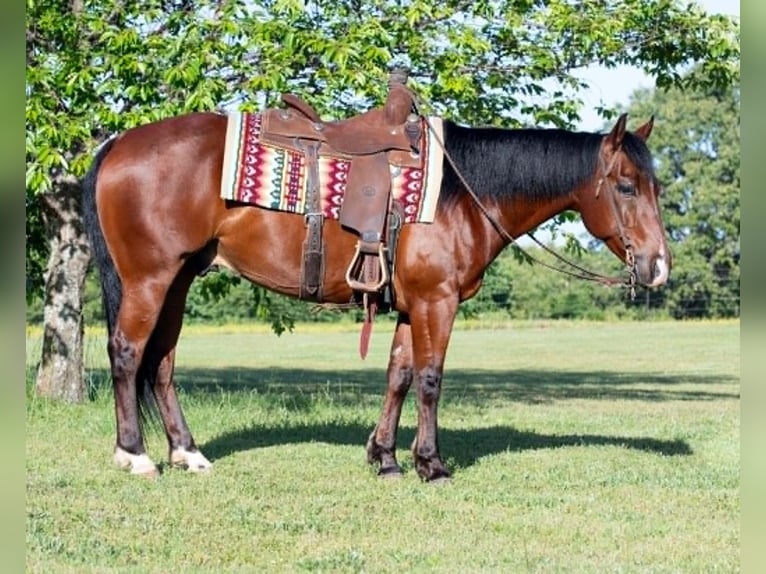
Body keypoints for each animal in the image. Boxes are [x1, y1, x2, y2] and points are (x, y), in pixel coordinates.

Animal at [82, 104, 670, 482]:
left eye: (656, 186)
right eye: (625, 186)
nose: (660, 265)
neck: (461, 191)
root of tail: (117, 143)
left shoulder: (412, 307)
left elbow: (399, 376)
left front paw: (384, 458)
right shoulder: (437, 302)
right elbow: (430, 379)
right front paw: (431, 465)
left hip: (180, 279)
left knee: (161, 363)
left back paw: (188, 453)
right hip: (150, 278)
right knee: (128, 354)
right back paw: (135, 455)